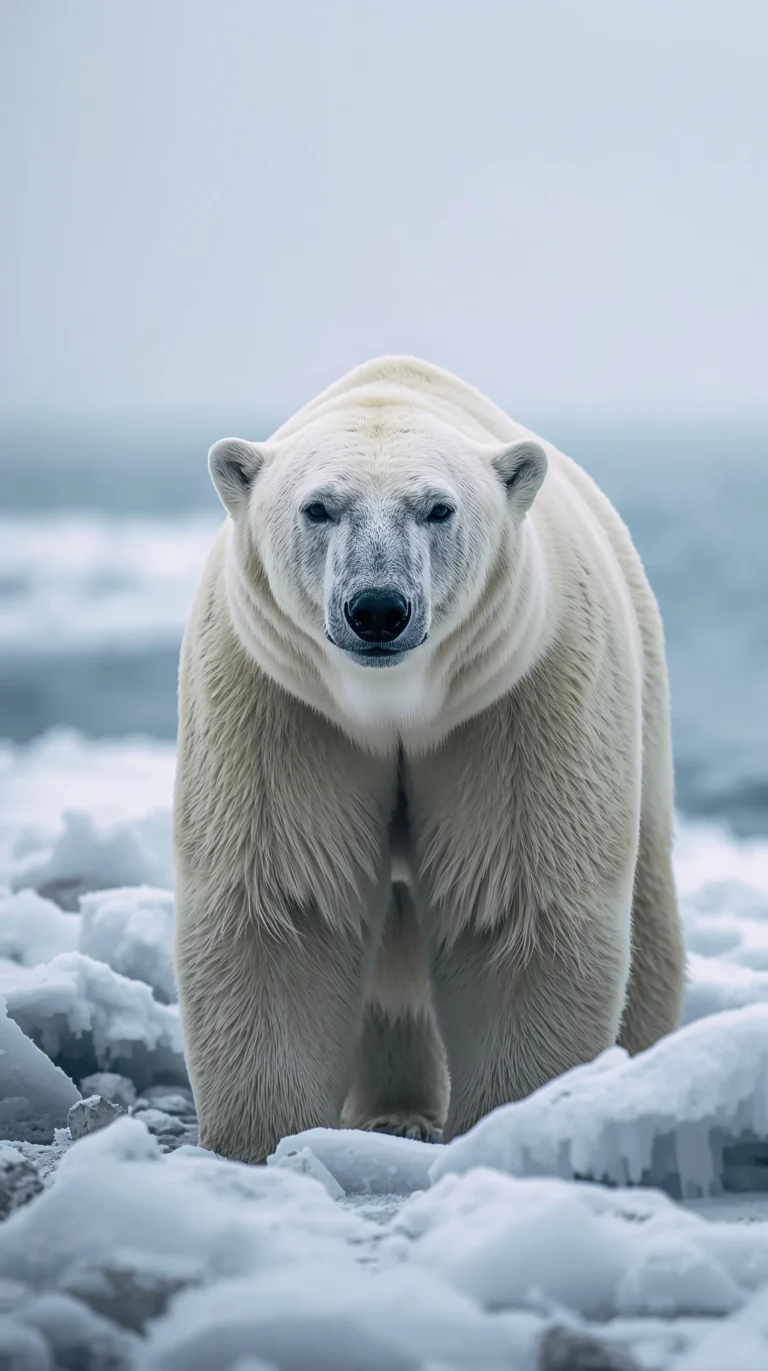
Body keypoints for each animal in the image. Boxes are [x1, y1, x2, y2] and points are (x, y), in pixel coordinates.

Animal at [173, 355, 685, 1164]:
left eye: (438, 509)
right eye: (319, 507)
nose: (378, 608)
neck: (394, 704)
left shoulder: (515, 697)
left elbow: (513, 904)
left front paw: (515, 1124)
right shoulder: (280, 700)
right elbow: (287, 901)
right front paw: (260, 1148)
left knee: (649, 904)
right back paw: (396, 1114)